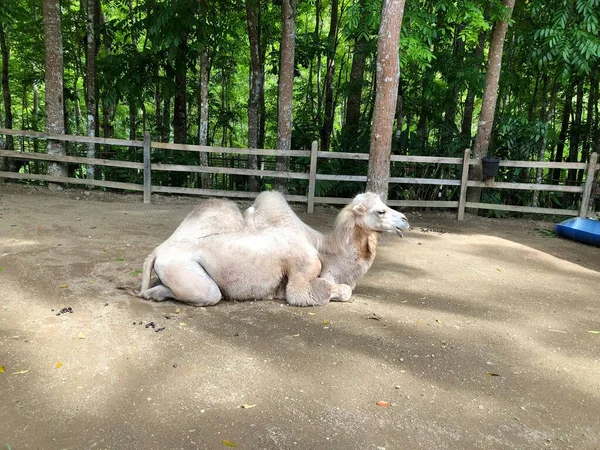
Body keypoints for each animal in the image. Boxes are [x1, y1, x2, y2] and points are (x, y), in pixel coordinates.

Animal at [134, 192, 410, 308]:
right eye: (380, 211)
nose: (405, 220)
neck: (323, 248)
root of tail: (157, 251)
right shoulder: (303, 271)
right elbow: (338, 291)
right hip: (186, 271)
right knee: (208, 294)